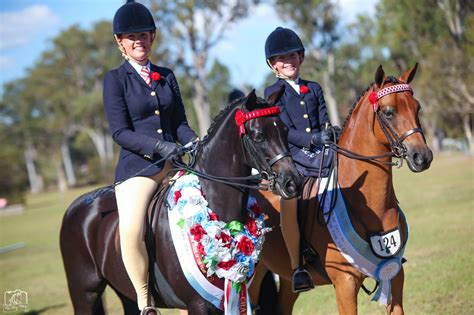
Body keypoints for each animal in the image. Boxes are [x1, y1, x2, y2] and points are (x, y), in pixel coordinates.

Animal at [60, 90, 304, 314]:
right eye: (258, 136)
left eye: (284, 130)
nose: (293, 183)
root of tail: (76, 205)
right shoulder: (198, 304)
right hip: (84, 291)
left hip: (123, 292)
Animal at [252, 65, 434, 315]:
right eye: (389, 112)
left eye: (417, 107)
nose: (422, 157)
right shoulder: (345, 283)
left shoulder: (395, 273)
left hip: (287, 279)